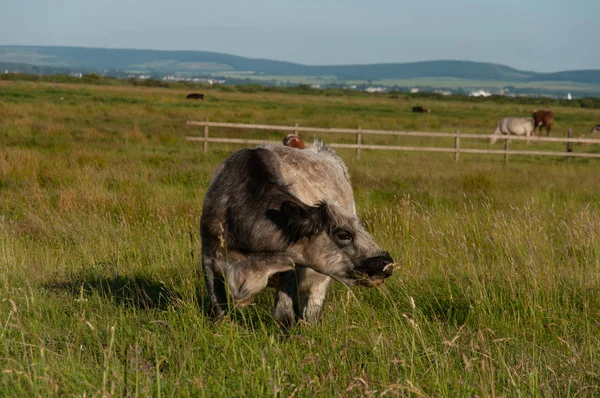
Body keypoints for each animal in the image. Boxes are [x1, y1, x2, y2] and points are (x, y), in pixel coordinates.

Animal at [200, 138, 394, 332]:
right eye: (344, 234)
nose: (387, 263)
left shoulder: (291, 269)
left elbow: (283, 314)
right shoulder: (209, 259)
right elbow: (218, 309)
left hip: (319, 281)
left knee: (311, 311)